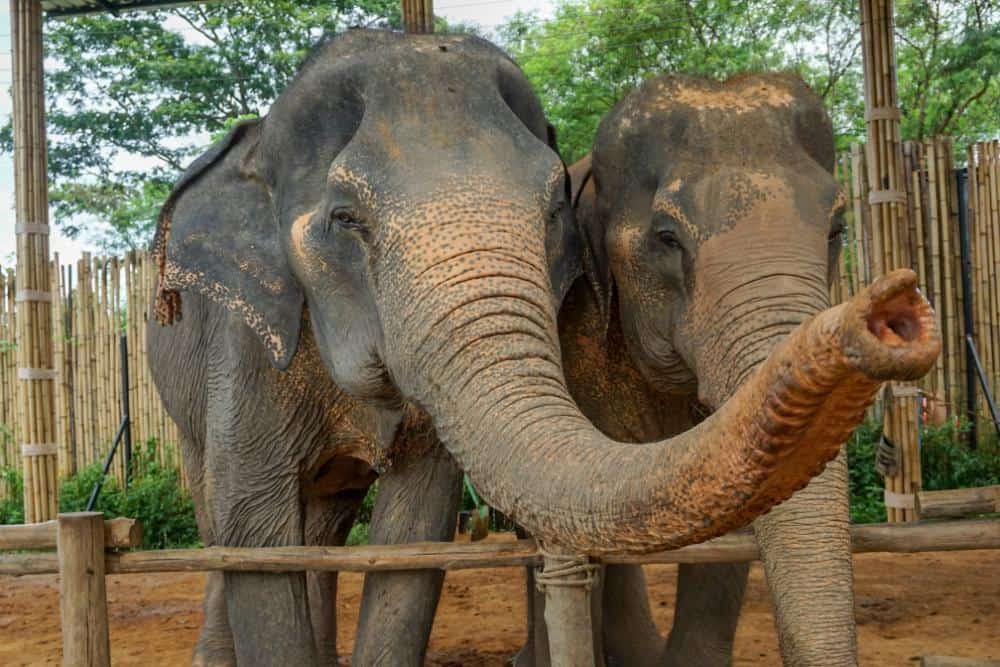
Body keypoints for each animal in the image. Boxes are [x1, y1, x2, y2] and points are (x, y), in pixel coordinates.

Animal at [148, 28, 939, 666]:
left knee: (324, 519)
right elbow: (256, 531)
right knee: (225, 515)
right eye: (346, 218)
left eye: (838, 228)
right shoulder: (244, 346)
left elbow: (413, 533)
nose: (896, 309)